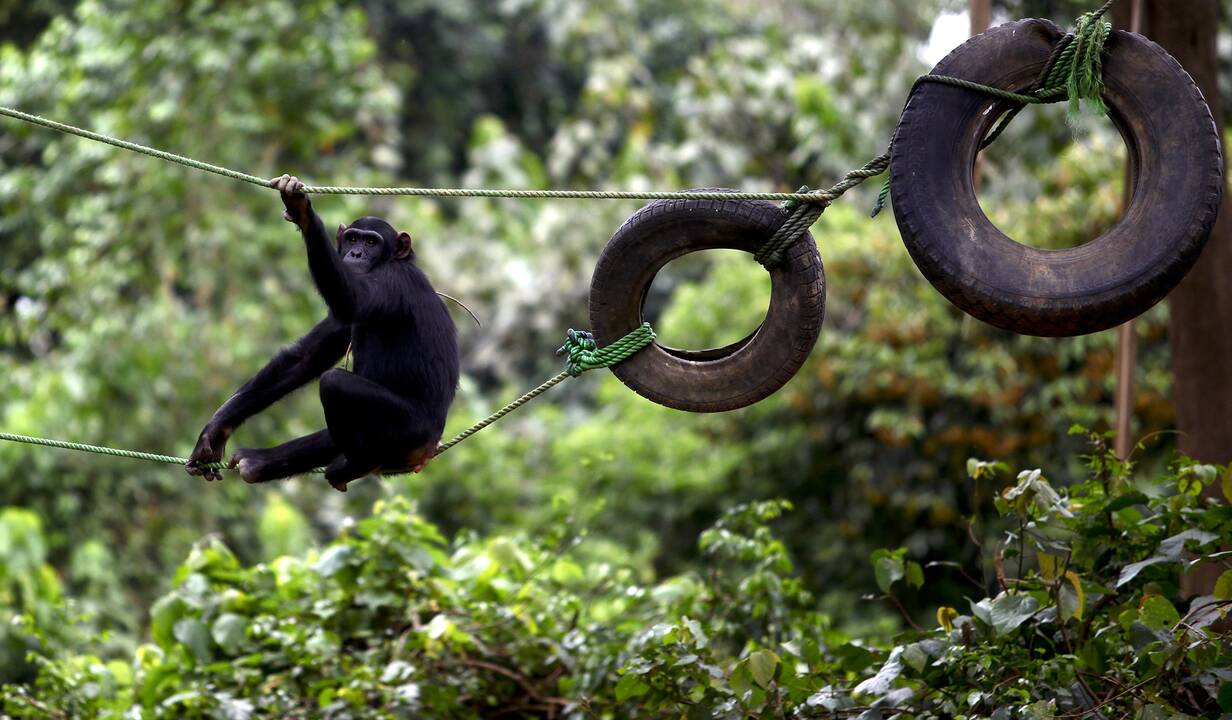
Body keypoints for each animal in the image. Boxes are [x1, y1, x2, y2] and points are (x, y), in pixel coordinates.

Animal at [179, 175, 455, 493]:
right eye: (353, 239)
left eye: (372, 242)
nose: (356, 253)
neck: (390, 262)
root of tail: (429, 448)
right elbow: (306, 358)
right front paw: (215, 432)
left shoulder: (391, 282)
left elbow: (351, 300)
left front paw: (303, 212)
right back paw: (259, 463)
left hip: (408, 431)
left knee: (335, 383)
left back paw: (357, 465)